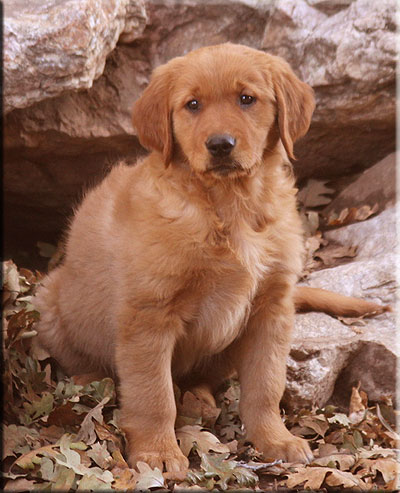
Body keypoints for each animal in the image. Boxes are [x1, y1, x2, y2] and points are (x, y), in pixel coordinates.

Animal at [35, 43, 387, 472]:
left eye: (246, 99)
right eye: (192, 104)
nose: (220, 144)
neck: (228, 203)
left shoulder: (272, 307)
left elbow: (266, 385)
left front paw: (275, 439)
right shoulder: (148, 313)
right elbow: (153, 395)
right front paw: (157, 453)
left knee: (201, 379)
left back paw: (200, 400)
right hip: (51, 302)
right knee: (84, 362)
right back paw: (90, 382)